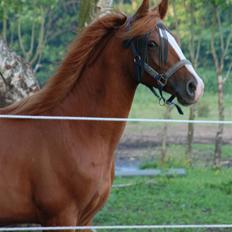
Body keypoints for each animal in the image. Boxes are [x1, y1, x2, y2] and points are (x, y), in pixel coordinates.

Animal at [0, 0, 203, 230]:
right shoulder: (61, 219)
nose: (195, 86)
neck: (75, 128)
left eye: (175, 39)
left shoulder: (85, 220)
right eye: (152, 43)